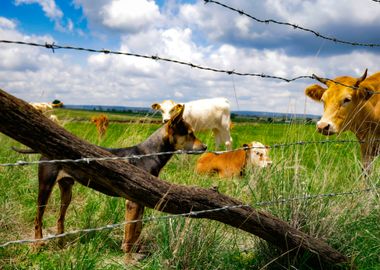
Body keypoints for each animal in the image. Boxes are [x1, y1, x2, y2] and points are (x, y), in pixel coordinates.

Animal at [13, 104, 206, 256]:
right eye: (190, 133)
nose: (205, 146)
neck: (148, 154)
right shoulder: (132, 203)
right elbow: (130, 230)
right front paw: (127, 254)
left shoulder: (141, 201)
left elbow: (138, 228)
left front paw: (135, 250)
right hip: (46, 185)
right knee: (38, 219)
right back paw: (37, 245)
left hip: (67, 190)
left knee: (60, 218)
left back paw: (61, 245)